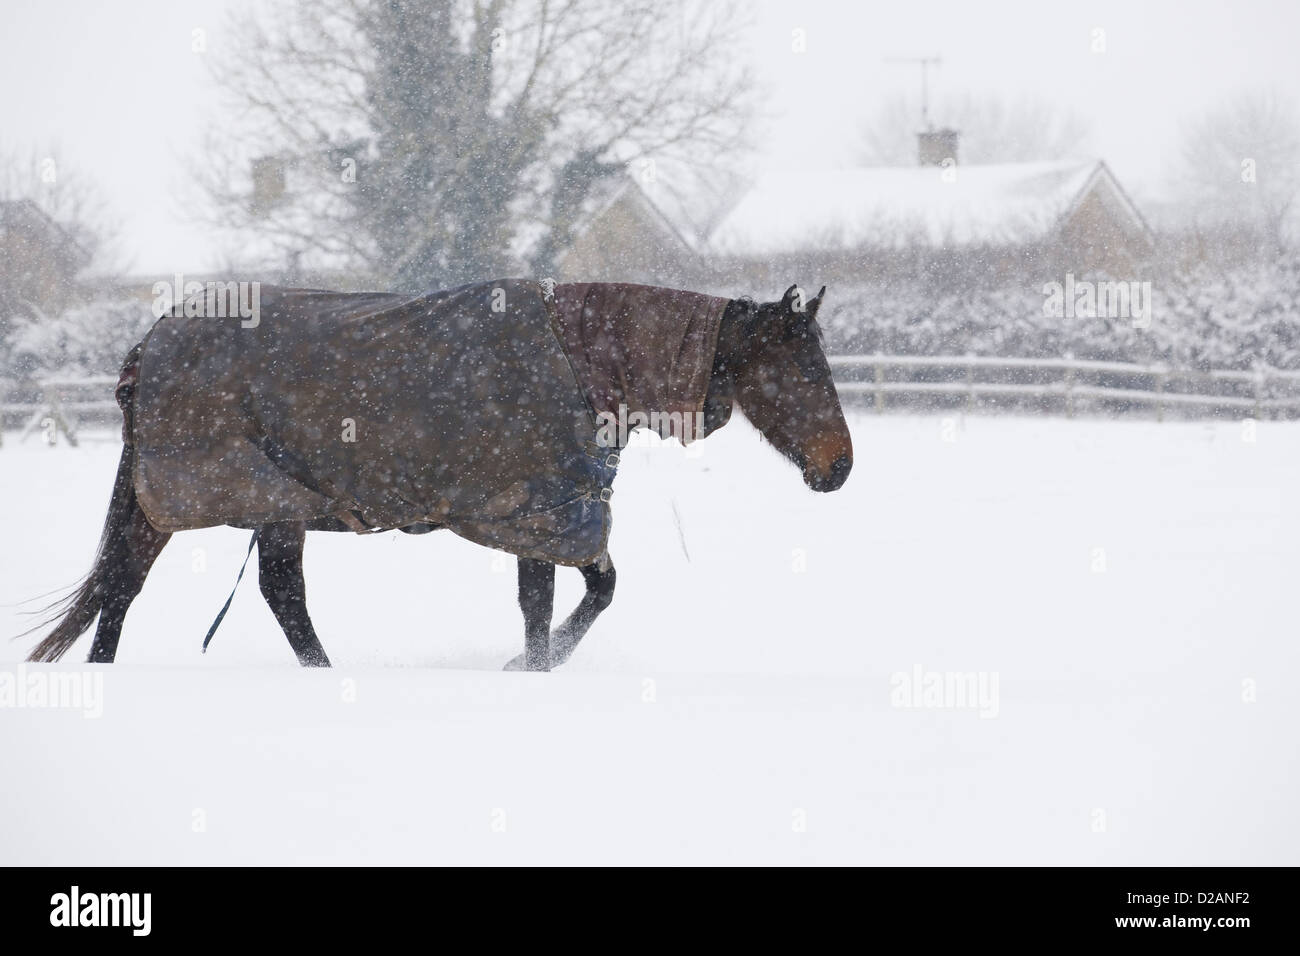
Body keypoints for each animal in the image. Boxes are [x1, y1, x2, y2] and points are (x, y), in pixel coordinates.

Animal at [25, 283, 852, 671]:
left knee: (226, 591)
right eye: (803, 369)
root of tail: (150, 341)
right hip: (202, 498)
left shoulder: (552, 513)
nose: (839, 466)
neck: (583, 360)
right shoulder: (536, 513)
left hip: (267, 506)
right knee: (140, 585)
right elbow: (560, 602)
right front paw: (528, 664)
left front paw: (529, 663)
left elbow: (590, 592)